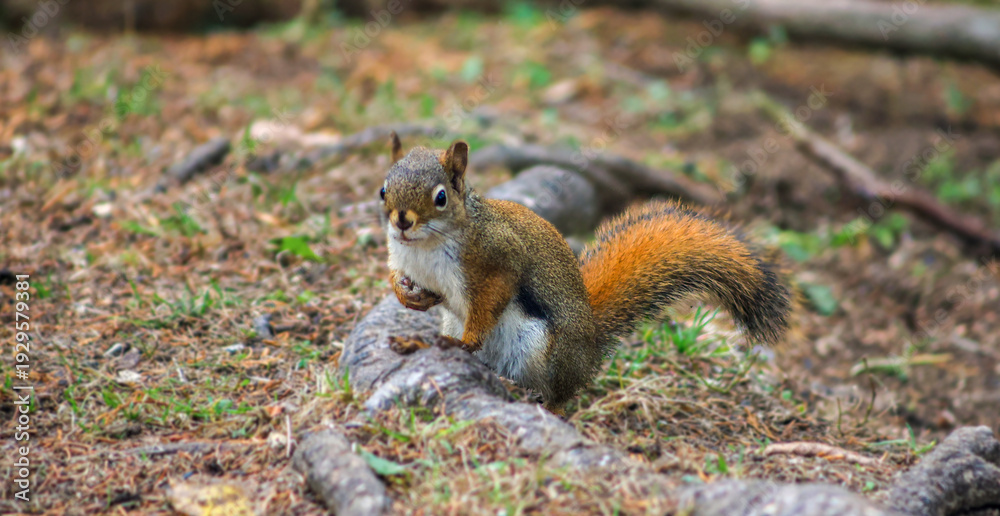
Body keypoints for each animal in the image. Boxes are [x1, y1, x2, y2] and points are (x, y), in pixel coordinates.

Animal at [380, 133, 792, 412]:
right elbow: (404, 282)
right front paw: (409, 296)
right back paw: (418, 344)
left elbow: (488, 305)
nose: (402, 220)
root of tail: (590, 349)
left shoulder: (497, 259)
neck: (424, 246)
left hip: (541, 350)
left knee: (559, 397)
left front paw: (464, 342)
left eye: (440, 197)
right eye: (383, 189)